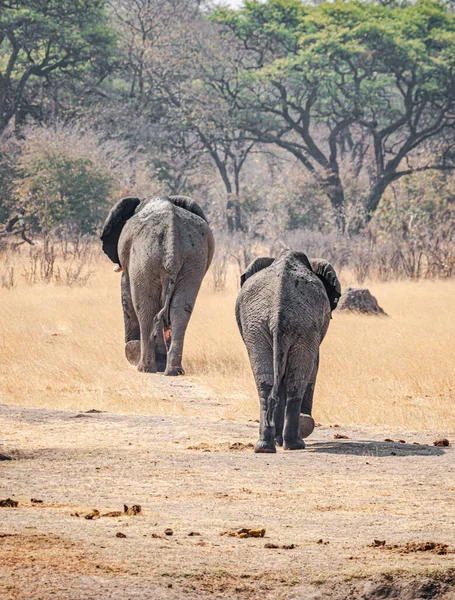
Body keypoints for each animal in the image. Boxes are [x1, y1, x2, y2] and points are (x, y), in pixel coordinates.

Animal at [100, 196, 215, 376]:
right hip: (193, 259)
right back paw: (173, 370)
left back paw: (145, 368)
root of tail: (171, 235)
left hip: (144, 257)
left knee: (146, 310)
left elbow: (127, 295)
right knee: (180, 310)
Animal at [237, 251, 340, 452]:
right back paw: (295, 444)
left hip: (259, 326)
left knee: (265, 383)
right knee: (296, 381)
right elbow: (314, 366)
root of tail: (277, 311)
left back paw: (265, 447)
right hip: (300, 326)